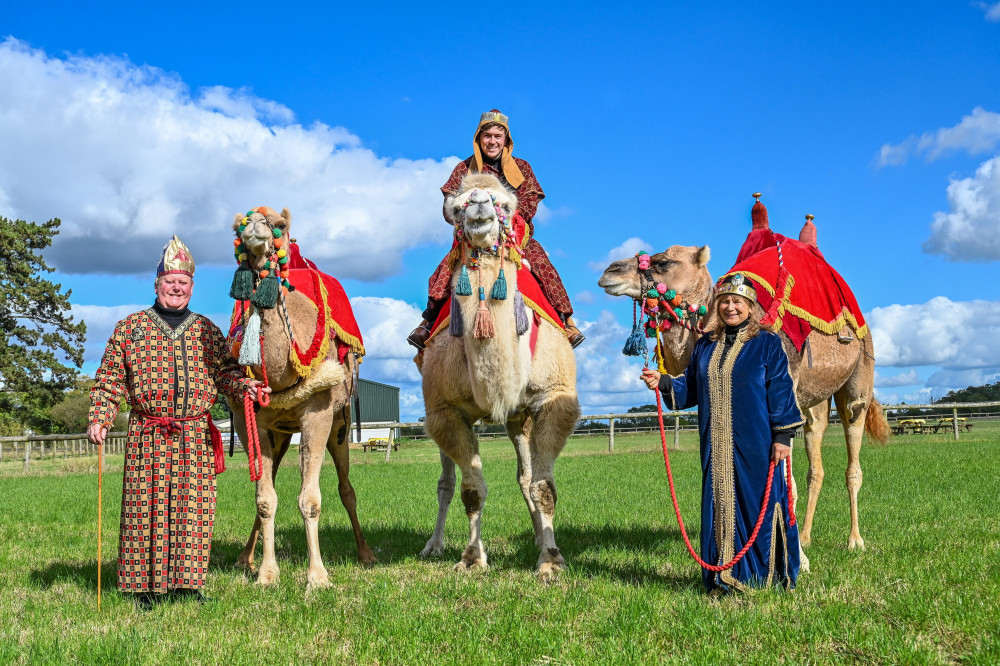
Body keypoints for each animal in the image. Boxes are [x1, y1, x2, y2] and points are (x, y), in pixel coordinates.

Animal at [226, 206, 376, 588]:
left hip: (340, 425)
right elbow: (264, 499)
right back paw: (244, 559)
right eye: (237, 226)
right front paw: (266, 574)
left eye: (278, 224)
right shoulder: (249, 420)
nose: (255, 225)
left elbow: (310, 500)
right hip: (280, 435)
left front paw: (317, 577)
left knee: (347, 489)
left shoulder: (318, 414)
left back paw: (366, 554)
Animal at [414, 174, 584, 580]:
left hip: (520, 417)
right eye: (457, 206)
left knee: (525, 477)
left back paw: (539, 538)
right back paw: (433, 545)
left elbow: (543, 486)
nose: (478, 204)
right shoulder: (444, 412)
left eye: (504, 204)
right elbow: (471, 489)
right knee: (446, 483)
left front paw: (551, 560)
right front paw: (472, 559)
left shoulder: (554, 399)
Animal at [596, 228, 888, 560]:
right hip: (813, 400)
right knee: (817, 457)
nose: (609, 271)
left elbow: (786, 479)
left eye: (663, 262)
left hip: (859, 378)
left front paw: (798, 560)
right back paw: (807, 537)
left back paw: (855, 541)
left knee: (853, 451)